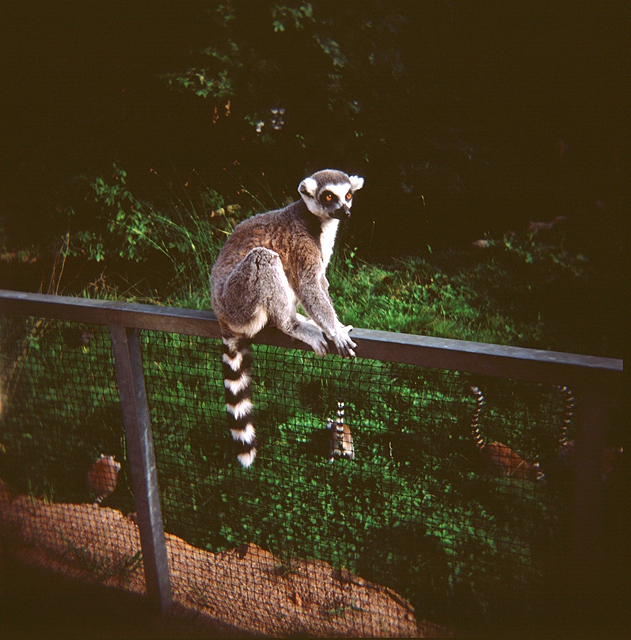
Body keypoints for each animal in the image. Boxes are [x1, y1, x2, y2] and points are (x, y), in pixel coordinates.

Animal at [211, 169, 363, 466]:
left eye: (349, 194)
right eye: (329, 196)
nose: (346, 211)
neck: (317, 222)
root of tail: (220, 312)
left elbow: (320, 282)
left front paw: (336, 325)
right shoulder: (300, 240)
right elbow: (309, 284)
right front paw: (336, 332)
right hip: (239, 300)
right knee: (264, 258)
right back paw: (291, 324)